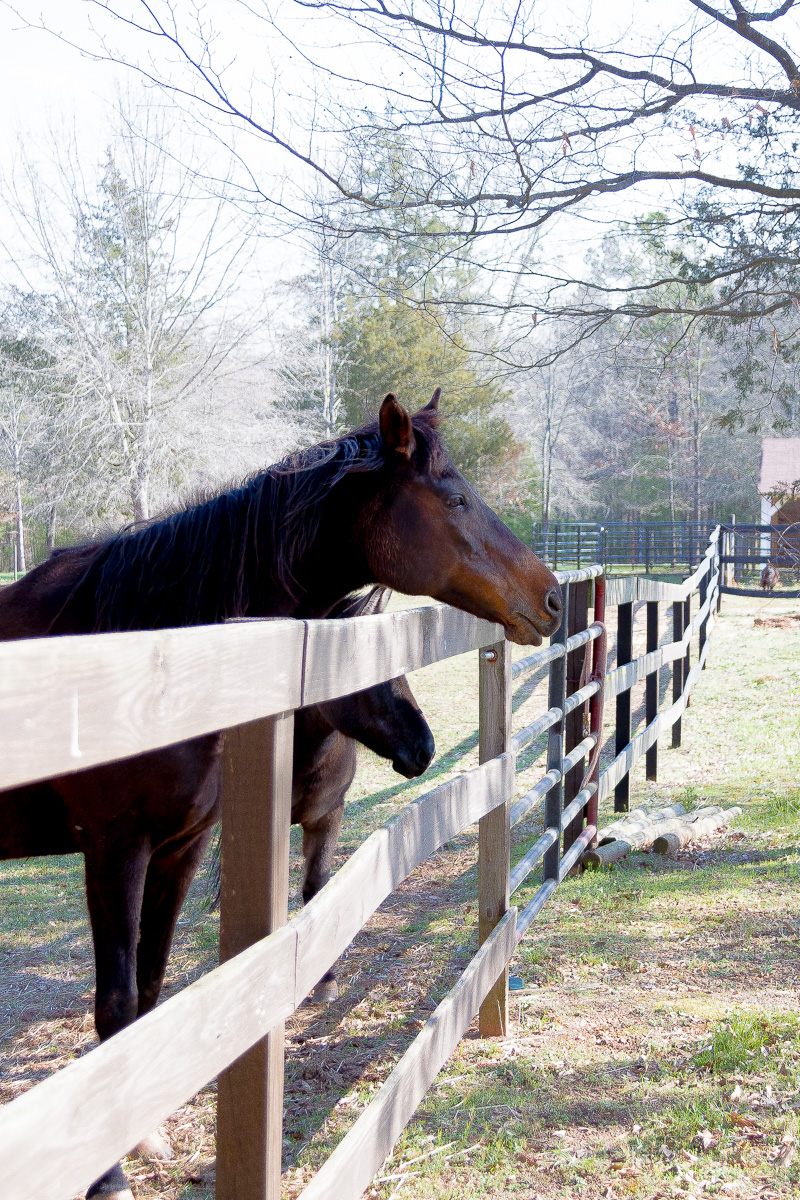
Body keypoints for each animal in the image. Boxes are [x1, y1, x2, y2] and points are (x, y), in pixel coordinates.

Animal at [0, 388, 563, 1195]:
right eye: (454, 498)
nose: (550, 598)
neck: (145, 651)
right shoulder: (114, 849)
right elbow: (114, 1006)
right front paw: (109, 1175)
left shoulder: (181, 848)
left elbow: (149, 993)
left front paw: (146, 1137)